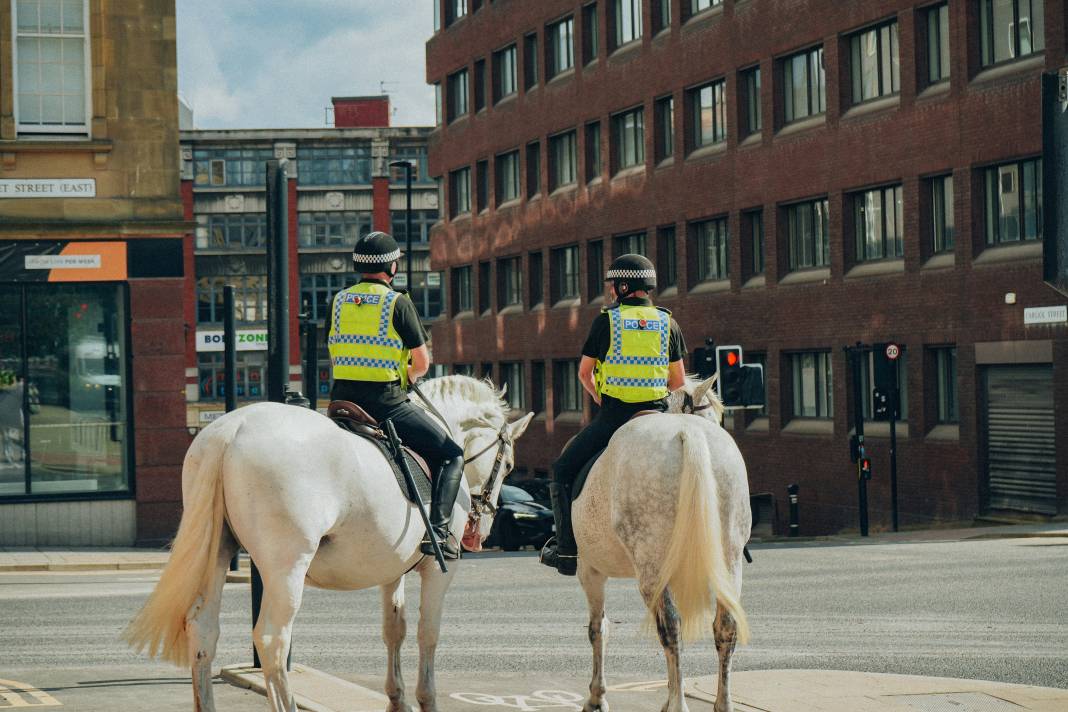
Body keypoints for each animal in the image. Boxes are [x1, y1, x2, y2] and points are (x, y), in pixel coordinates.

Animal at [124, 375, 534, 708]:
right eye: (509, 465)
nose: (481, 532)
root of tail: (232, 429)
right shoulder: (436, 569)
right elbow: (427, 634)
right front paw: (424, 698)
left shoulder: (390, 570)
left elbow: (394, 630)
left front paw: (396, 698)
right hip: (287, 566)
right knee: (272, 641)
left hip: (217, 550)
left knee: (203, 630)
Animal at [576, 375, 751, 708]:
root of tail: (689, 433)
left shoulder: (590, 568)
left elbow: (598, 628)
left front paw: (596, 697)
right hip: (730, 562)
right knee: (726, 627)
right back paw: (721, 703)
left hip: (650, 567)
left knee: (670, 628)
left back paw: (679, 705)